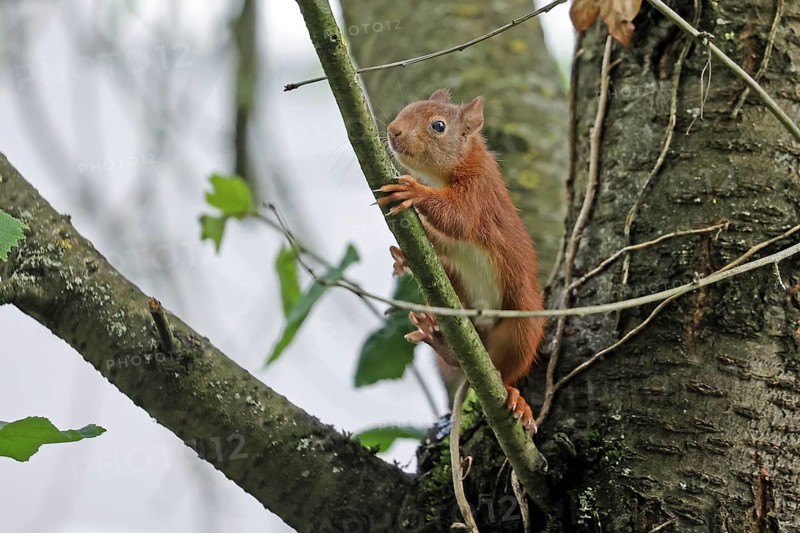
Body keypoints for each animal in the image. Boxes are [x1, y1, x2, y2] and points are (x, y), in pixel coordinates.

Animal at [377, 88, 546, 430]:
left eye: (438, 126)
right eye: (407, 108)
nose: (393, 130)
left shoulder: (479, 191)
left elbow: (458, 218)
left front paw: (414, 191)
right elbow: (440, 243)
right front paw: (402, 257)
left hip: (522, 320)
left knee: (506, 371)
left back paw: (516, 398)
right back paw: (437, 337)